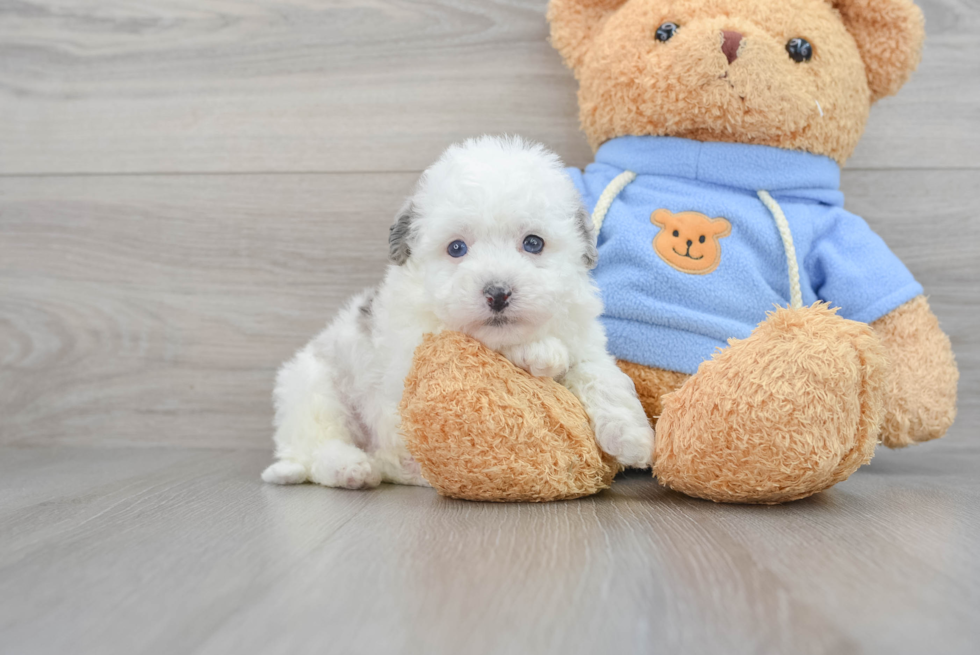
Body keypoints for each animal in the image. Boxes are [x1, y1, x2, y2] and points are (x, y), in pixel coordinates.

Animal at [264, 136, 656, 490]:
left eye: (533, 243)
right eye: (456, 248)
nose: (497, 293)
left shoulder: (585, 341)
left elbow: (601, 376)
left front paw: (632, 437)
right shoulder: (414, 350)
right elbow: (480, 341)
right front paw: (539, 352)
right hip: (313, 390)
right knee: (319, 446)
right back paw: (350, 468)